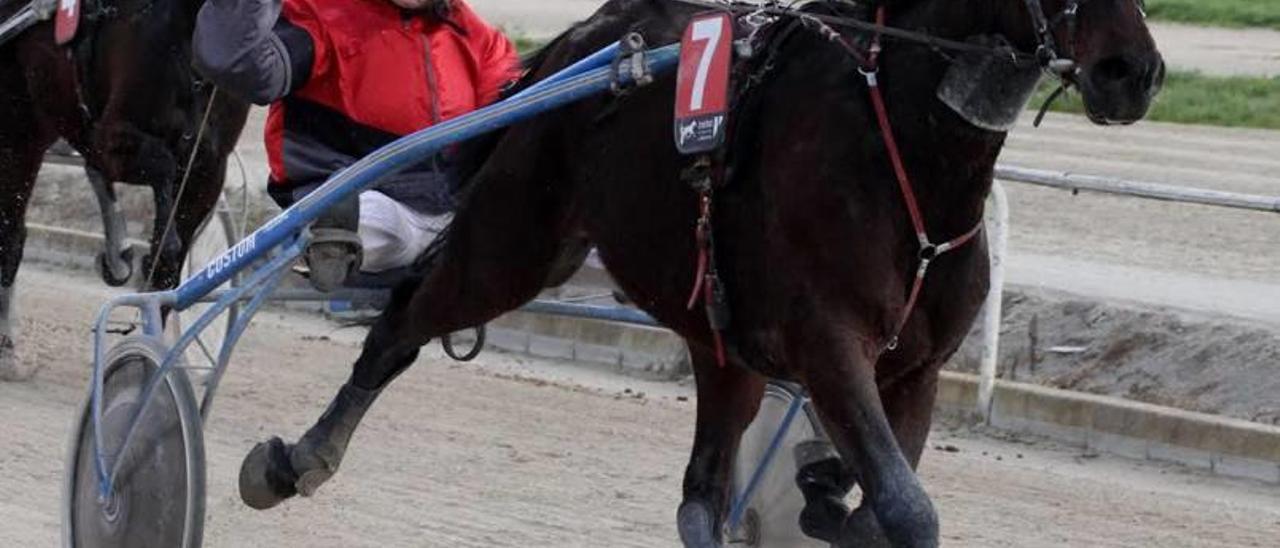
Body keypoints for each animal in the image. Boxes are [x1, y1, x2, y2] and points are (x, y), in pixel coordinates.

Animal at [0, 0, 248, 376]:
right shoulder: (110, 141)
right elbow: (161, 166)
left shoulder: (208, 169)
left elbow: (167, 268)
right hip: (16, 123)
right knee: (10, 230)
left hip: (32, 126)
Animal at [238, 1, 1162, 548]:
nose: (1133, 70)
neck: (908, 163)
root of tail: (583, 42)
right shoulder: (831, 346)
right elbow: (906, 509)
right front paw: (832, 485)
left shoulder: (916, 371)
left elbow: (874, 508)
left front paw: (822, 485)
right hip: (513, 243)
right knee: (401, 323)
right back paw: (295, 460)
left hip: (718, 342)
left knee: (699, 498)